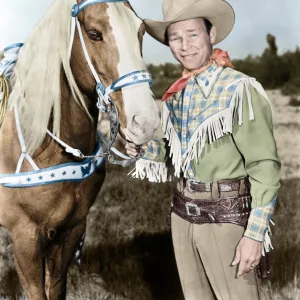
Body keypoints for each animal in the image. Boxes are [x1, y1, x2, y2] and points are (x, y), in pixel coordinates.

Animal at [0, 1, 159, 298]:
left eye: (141, 30)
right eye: (94, 34)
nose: (145, 121)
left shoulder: (71, 229)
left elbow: (55, 287)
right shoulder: (25, 238)